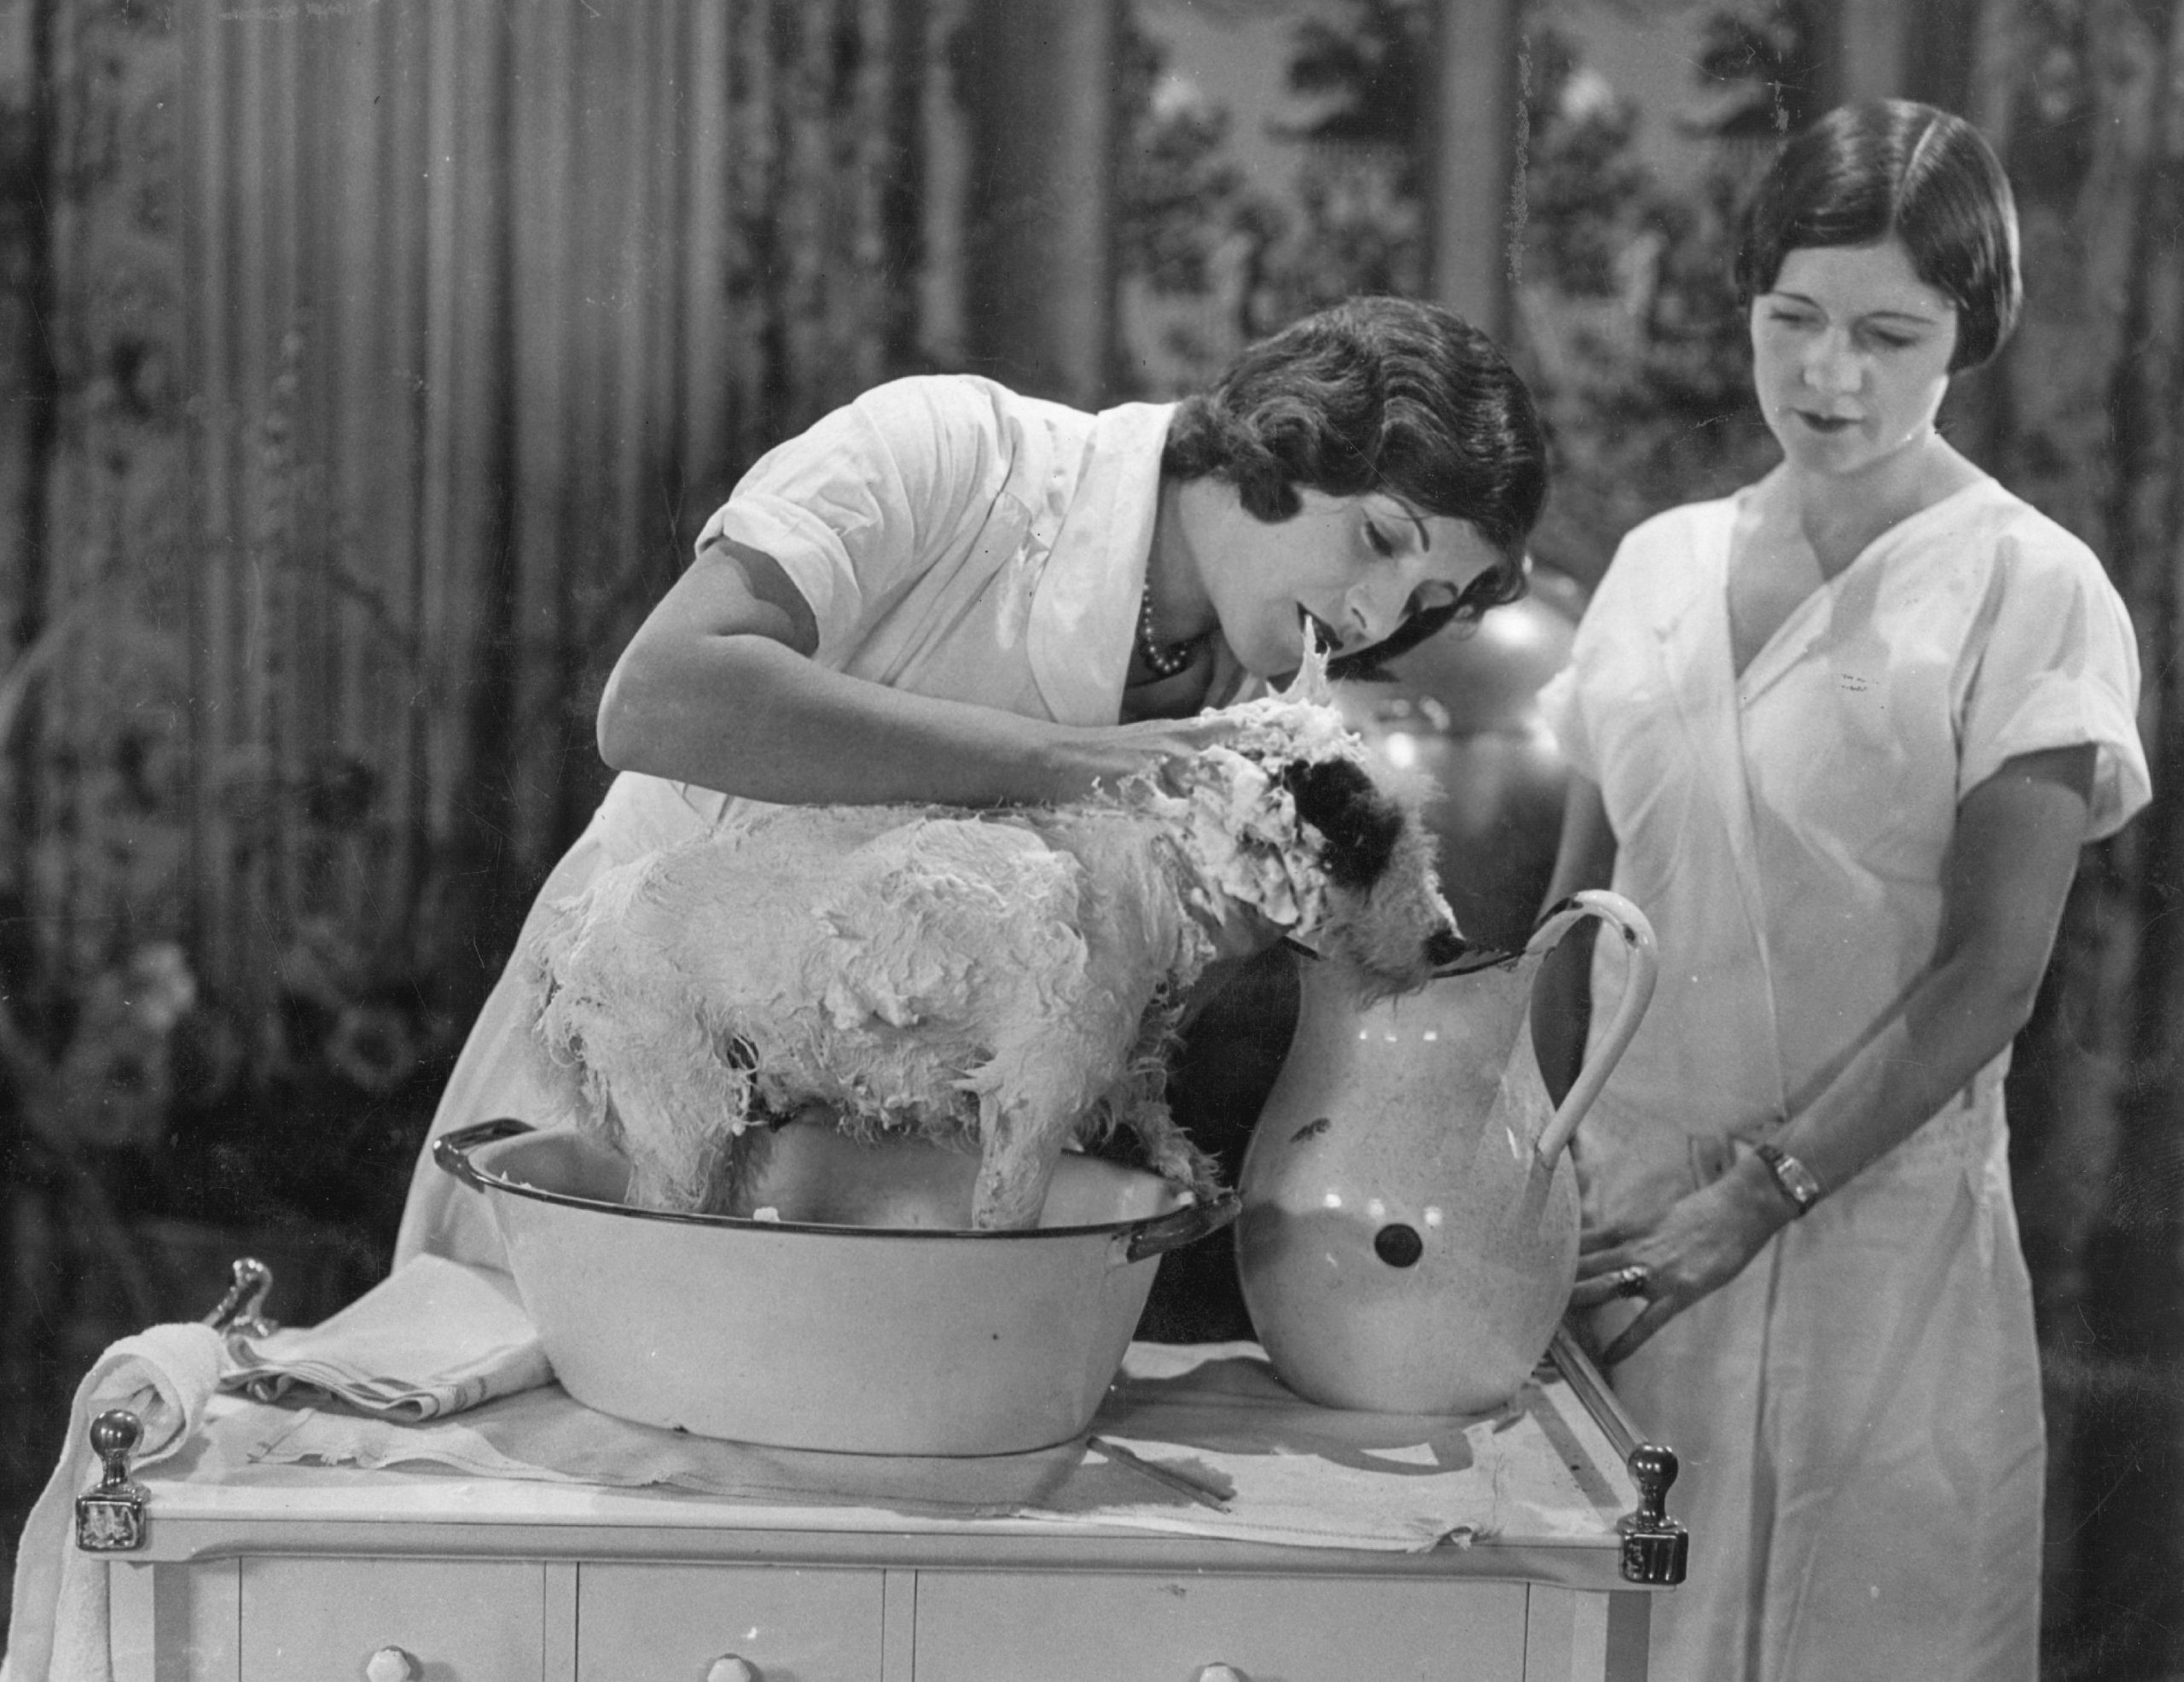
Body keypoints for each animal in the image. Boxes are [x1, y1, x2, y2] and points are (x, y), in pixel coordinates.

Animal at [517, 652, 1465, 1231]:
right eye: (1360, 837)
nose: (1449, 943)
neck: (1143, 871)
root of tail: (574, 933)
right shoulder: (1034, 1094)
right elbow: (1005, 1216)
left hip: (732, 1108)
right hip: (678, 1107)